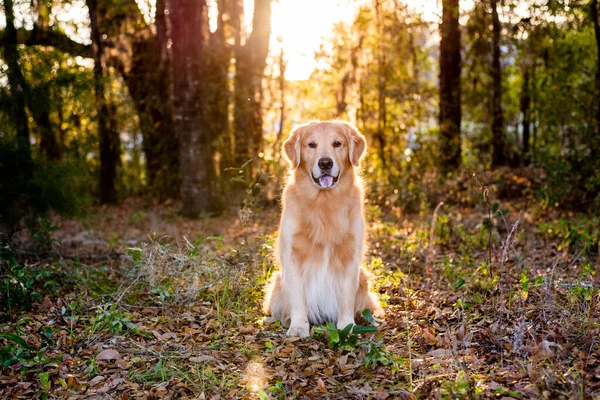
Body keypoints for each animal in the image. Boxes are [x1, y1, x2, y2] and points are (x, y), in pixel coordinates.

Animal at [262, 119, 380, 338]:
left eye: (337, 143)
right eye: (311, 145)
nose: (325, 163)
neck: (323, 202)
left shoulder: (350, 255)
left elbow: (346, 299)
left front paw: (346, 327)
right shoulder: (292, 254)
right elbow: (298, 298)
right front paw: (298, 327)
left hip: (363, 277)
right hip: (277, 283)